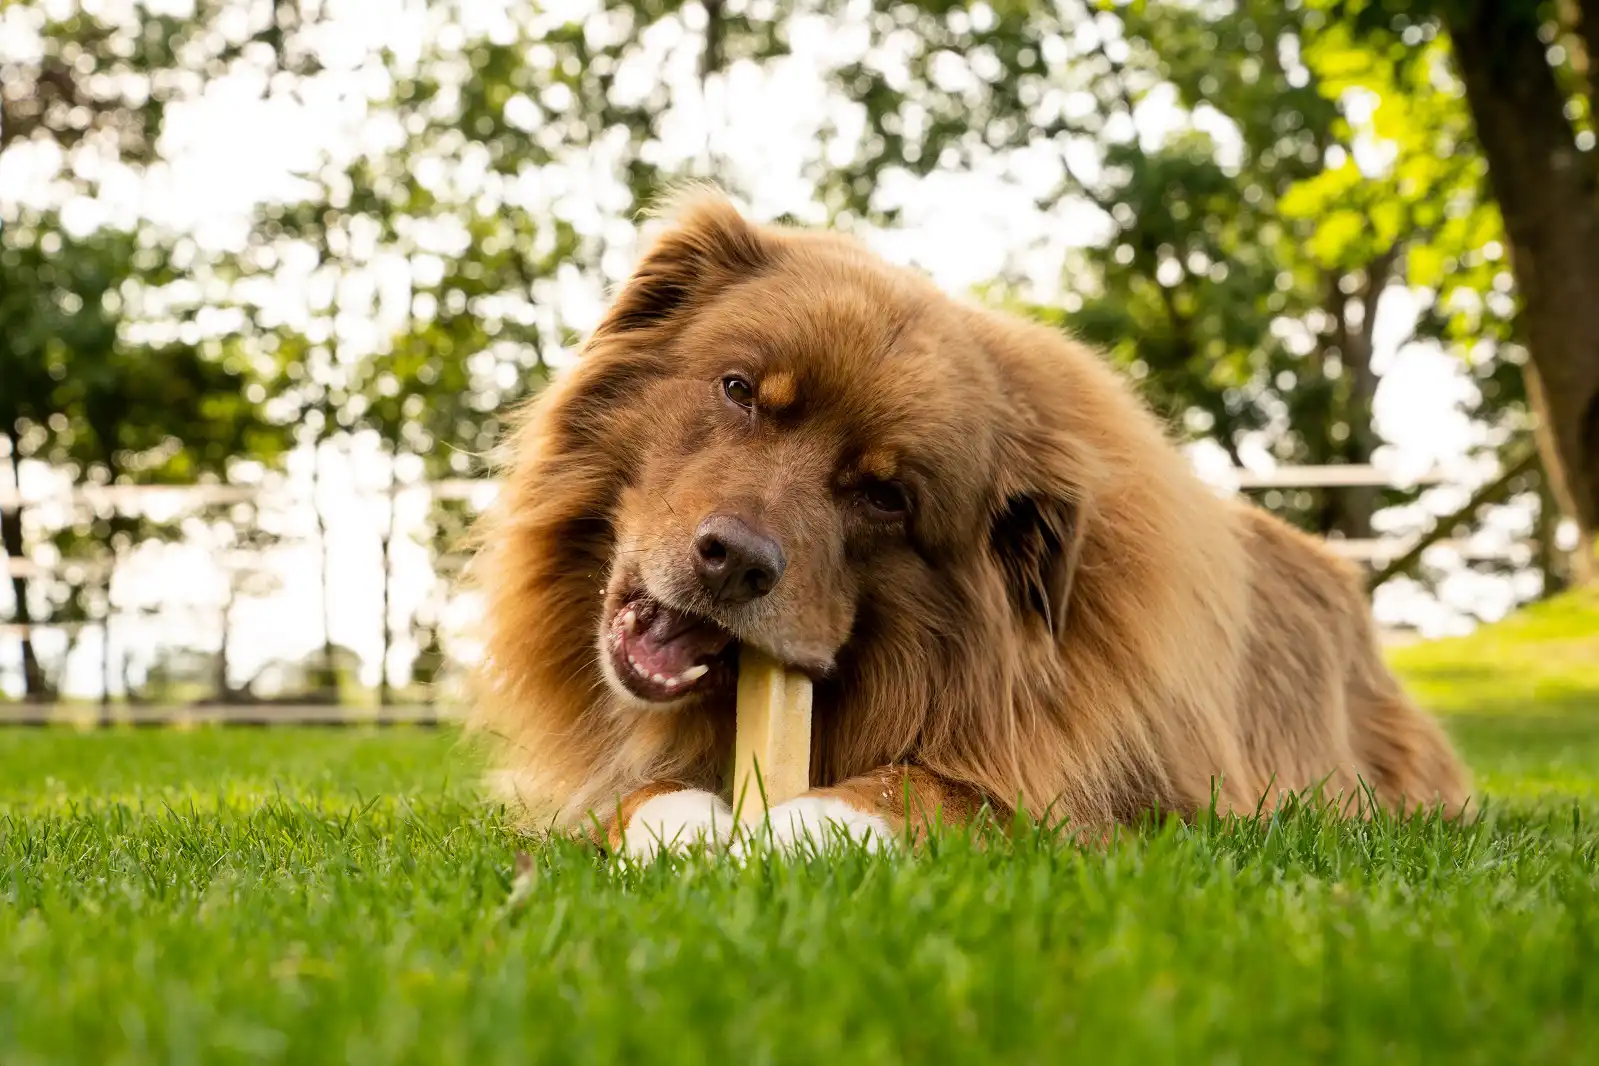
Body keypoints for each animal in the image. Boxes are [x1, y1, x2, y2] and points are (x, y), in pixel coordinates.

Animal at [466, 194, 1471, 856]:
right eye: (740, 389)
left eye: (886, 496)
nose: (733, 562)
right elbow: (637, 793)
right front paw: (678, 822)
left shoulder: (1156, 791)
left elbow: (953, 791)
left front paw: (804, 825)